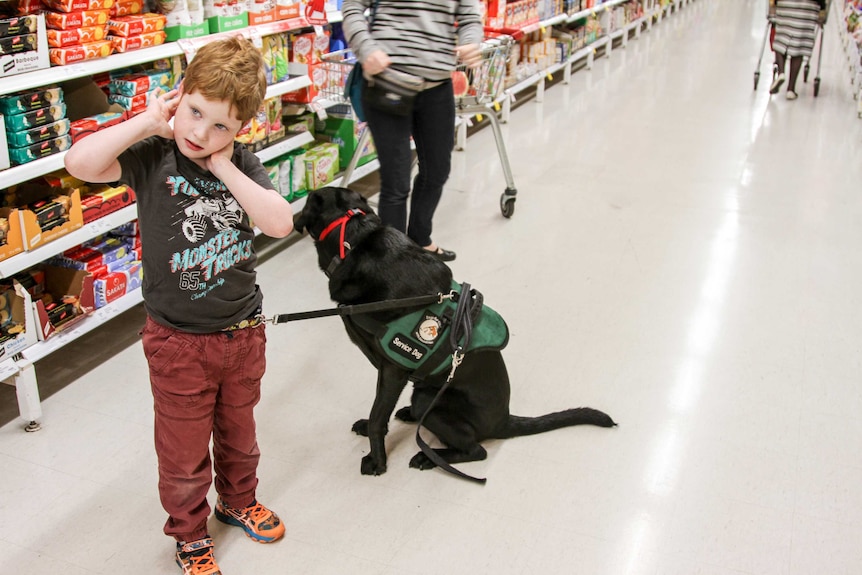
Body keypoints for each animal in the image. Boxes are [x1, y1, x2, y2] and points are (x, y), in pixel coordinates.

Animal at [294, 188, 616, 476]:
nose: (292, 217)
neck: (353, 239)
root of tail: (504, 420)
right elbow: (377, 409)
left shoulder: (393, 367)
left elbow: (378, 415)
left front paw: (377, 461)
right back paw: (410, 417)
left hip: (431, 401)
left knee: (476, 450)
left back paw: (430, 457)